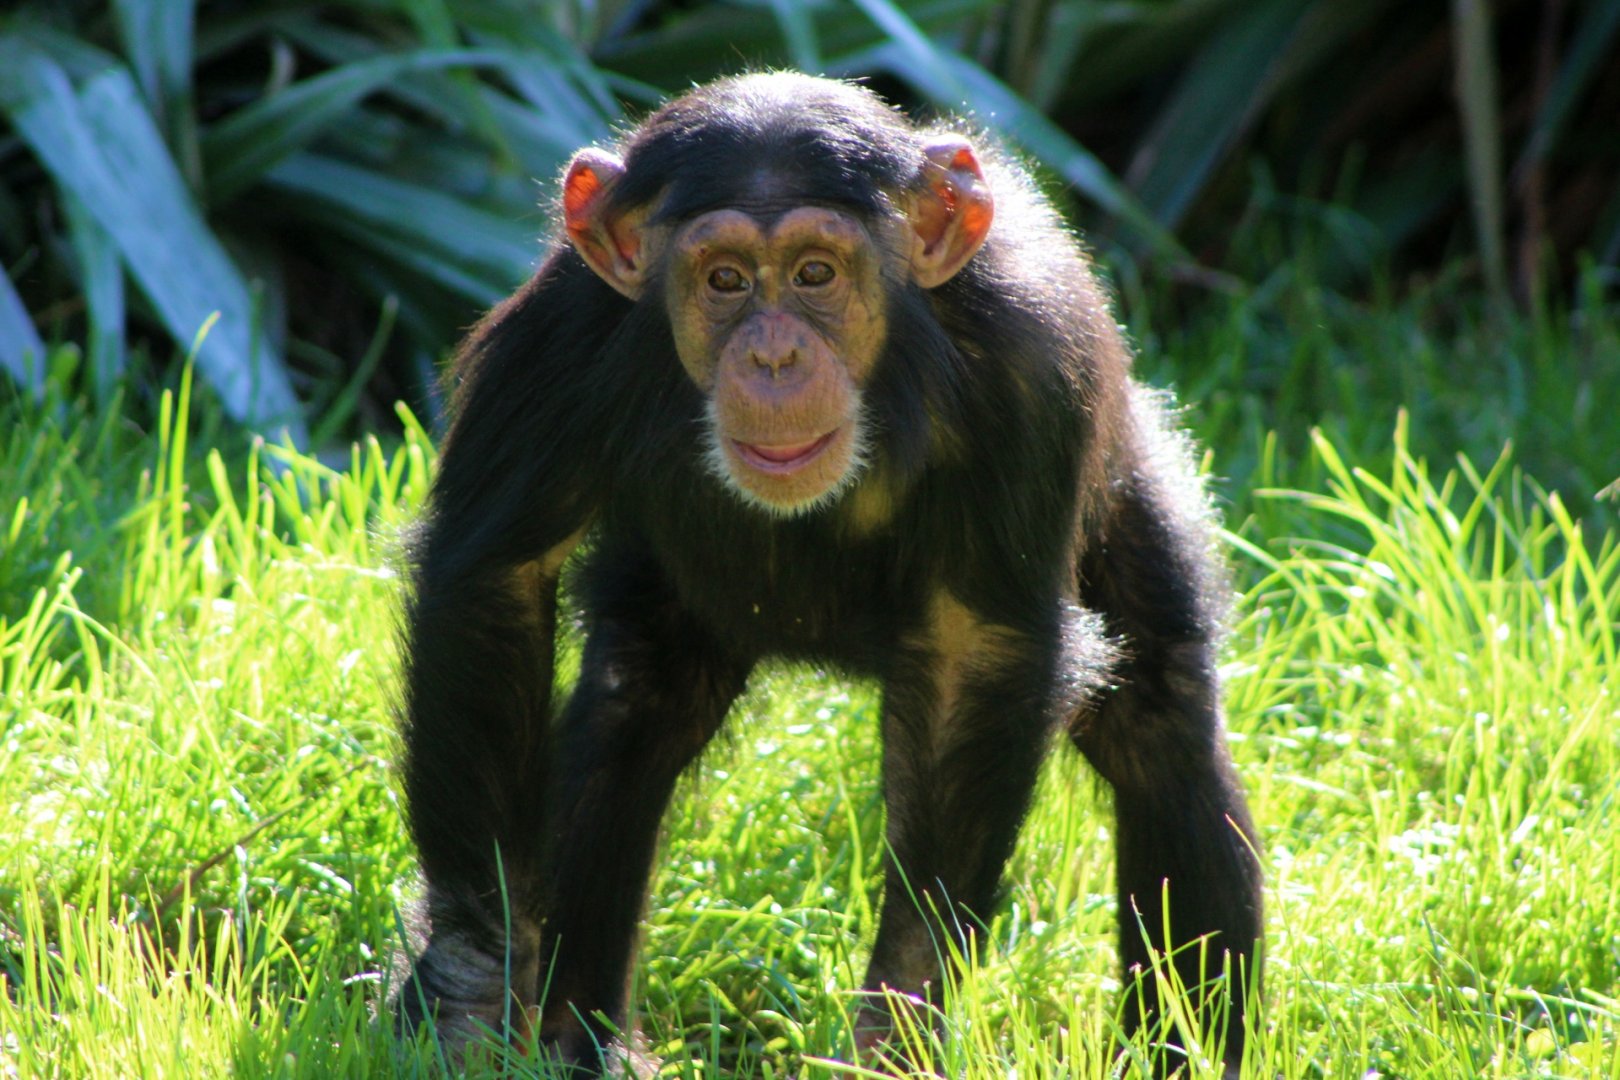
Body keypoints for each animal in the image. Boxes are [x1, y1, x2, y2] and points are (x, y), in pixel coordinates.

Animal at [395, 71, 1262, 1077]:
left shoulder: (1030, 361)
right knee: (631, 719)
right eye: (725, 280)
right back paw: (578, 1040)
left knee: (1161, 720)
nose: (774, 354)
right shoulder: (557, 339)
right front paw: (470, 984)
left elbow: (976, 652)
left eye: (816, 274)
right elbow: (496, 577)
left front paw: (897, 1025)